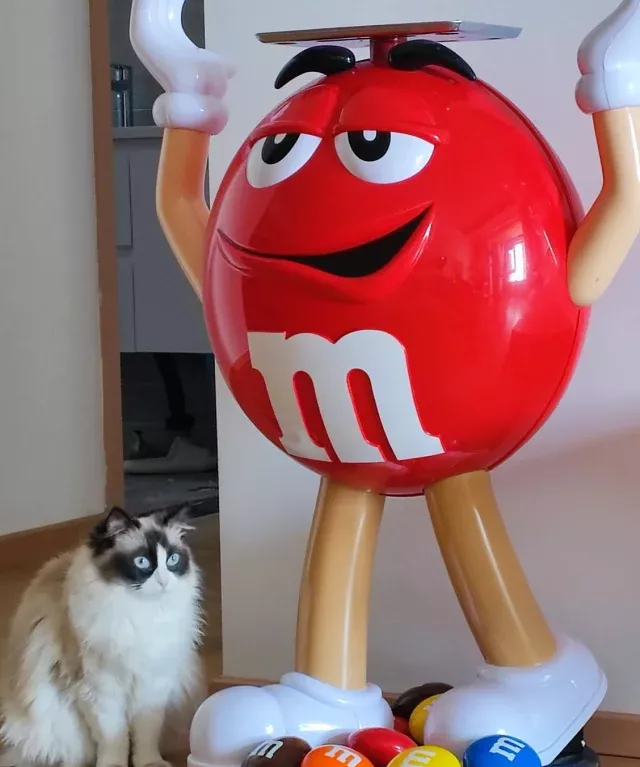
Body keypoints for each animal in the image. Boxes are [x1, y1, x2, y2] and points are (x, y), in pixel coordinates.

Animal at [0, 506, 206, 767]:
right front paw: (114, 764)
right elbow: (113, 739)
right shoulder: (100, 688)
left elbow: (145, 735)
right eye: (141, 562)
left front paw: (150, 763)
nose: (163, 581)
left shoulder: (152, 685)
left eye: (172, 560)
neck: (139, 613)